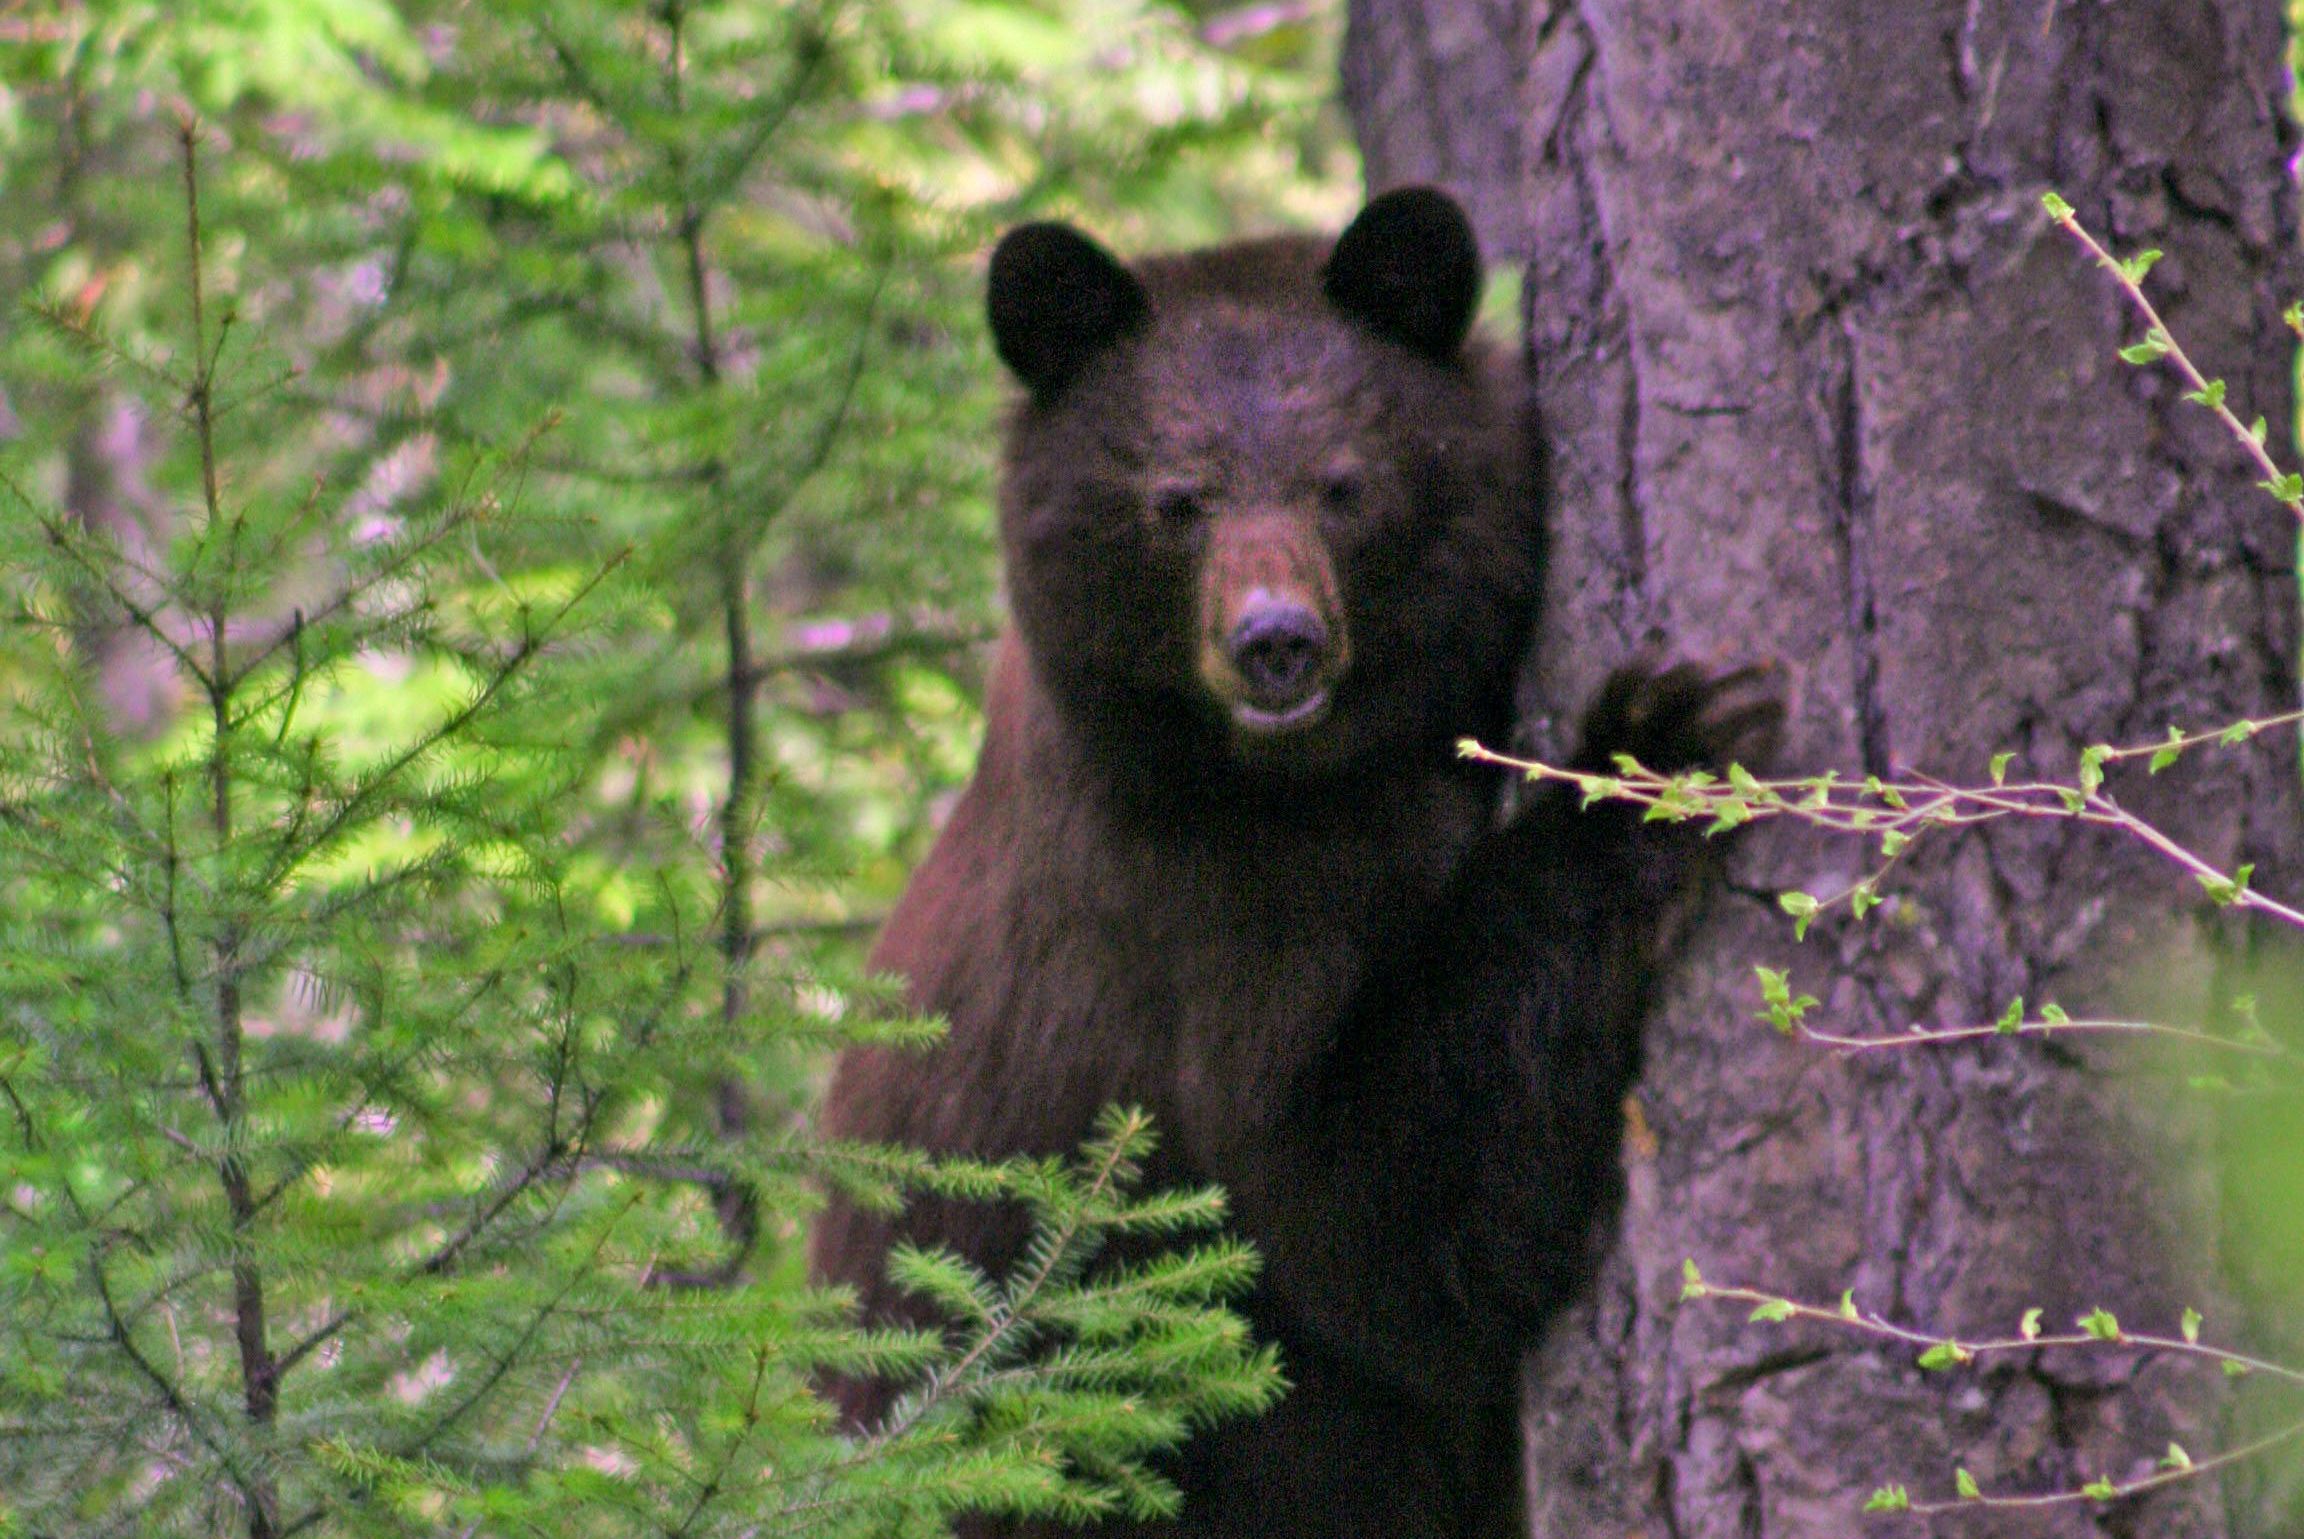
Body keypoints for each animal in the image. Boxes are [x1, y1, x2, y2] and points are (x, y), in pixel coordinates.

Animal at [810, 186, 1778, 1537]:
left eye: (1343, 484)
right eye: (1178, 499)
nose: (1276, 641)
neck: (1317, 771)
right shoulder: (1193, 907)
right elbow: (1374, 1220)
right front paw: (1653, 750)